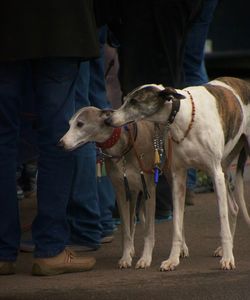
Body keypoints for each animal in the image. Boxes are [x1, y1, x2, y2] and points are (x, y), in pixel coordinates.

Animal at [59, 107, 171, 270]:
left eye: (80, 124)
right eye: (69, 124)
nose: (60, 144)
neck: (123, 147)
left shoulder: (149, 189)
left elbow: (149, 231)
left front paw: (145, 258)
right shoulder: (121, 191)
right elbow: (126, 230)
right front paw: (126, 257)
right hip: (133, 192)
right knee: (134, 219)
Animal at [106, 76, 250, 270]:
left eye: (135, 101)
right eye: (125, 99)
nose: (108, 119)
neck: (185, 117)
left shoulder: (215, 174)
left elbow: (222, 220)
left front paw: (228, 259)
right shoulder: (178, 177)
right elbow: (176, 225)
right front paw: (172, 260)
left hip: (222, 171)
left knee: (230, 210)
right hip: (225, 166)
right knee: (234, 208)